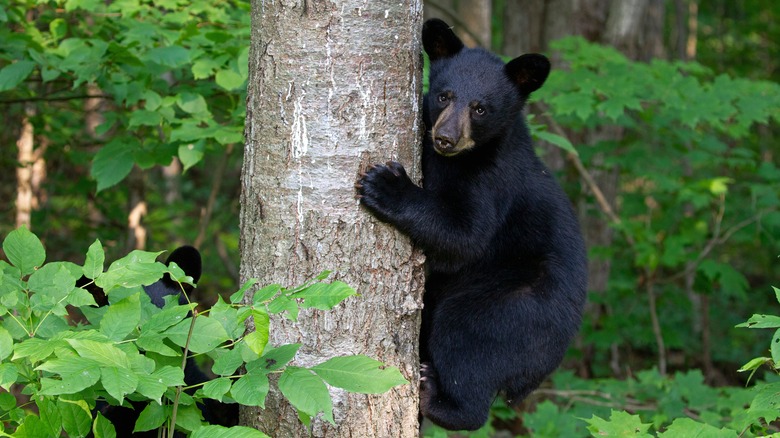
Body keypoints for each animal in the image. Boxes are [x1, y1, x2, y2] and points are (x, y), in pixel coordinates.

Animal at [356, 18, 588, 431]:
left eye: (480, 108)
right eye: (444, 96)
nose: (445, 138)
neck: (461, 159)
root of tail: (540, 371)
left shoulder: (493, 182)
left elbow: (465, 235)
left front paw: (385, 185)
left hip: (514, 307)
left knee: (466, 339)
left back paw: (437, 396)